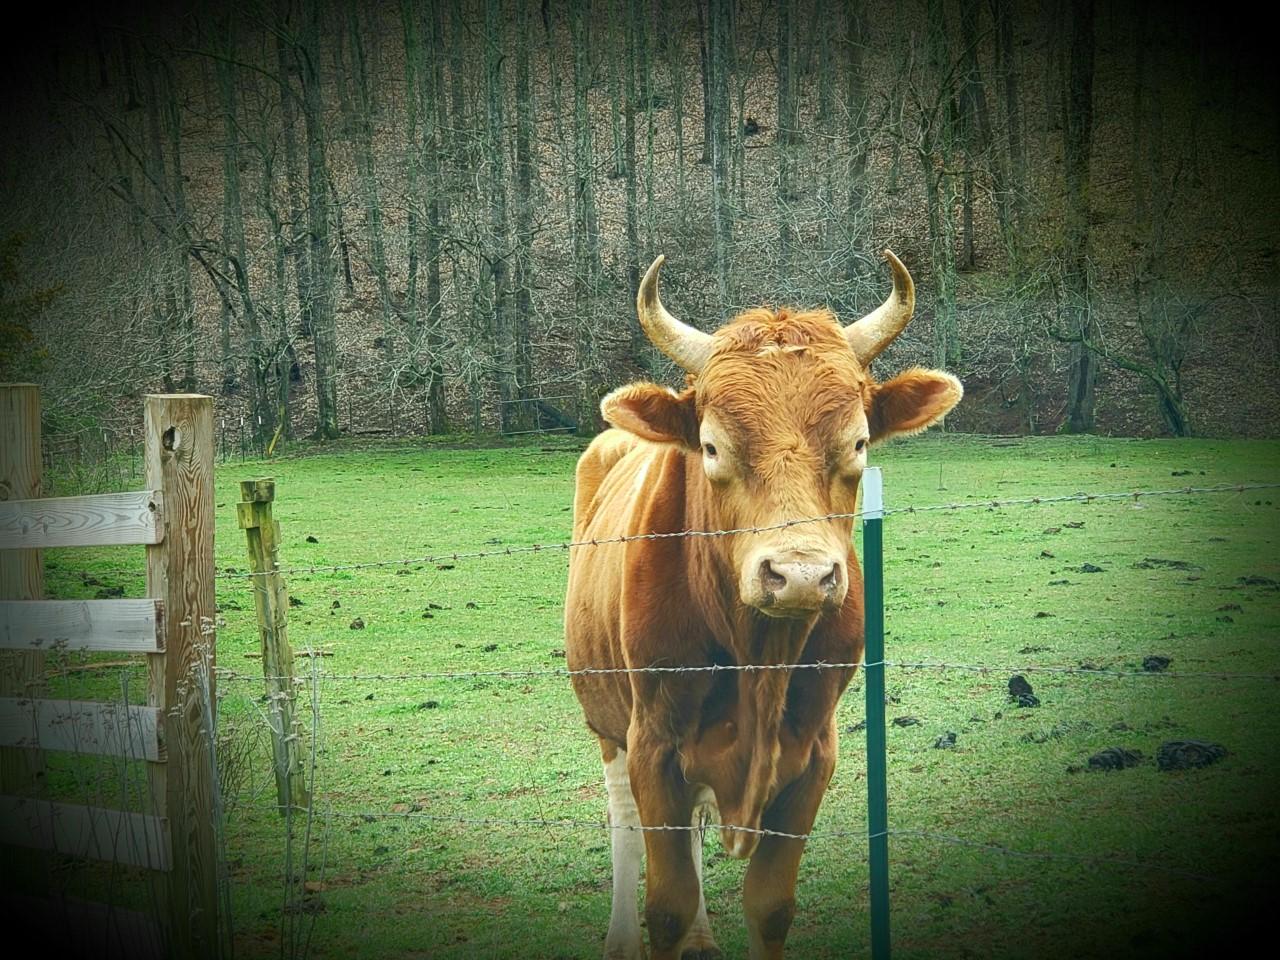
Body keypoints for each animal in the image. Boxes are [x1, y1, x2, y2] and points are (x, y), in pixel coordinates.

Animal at [564, 251, 961, 960]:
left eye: (858, 443)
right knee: (624, 825)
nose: (799, 575)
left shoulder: (813, 753)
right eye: (712, 446)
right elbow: (665, 903)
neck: (759, 660)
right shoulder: (651, 747)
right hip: (608, 722)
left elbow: (769, 906)